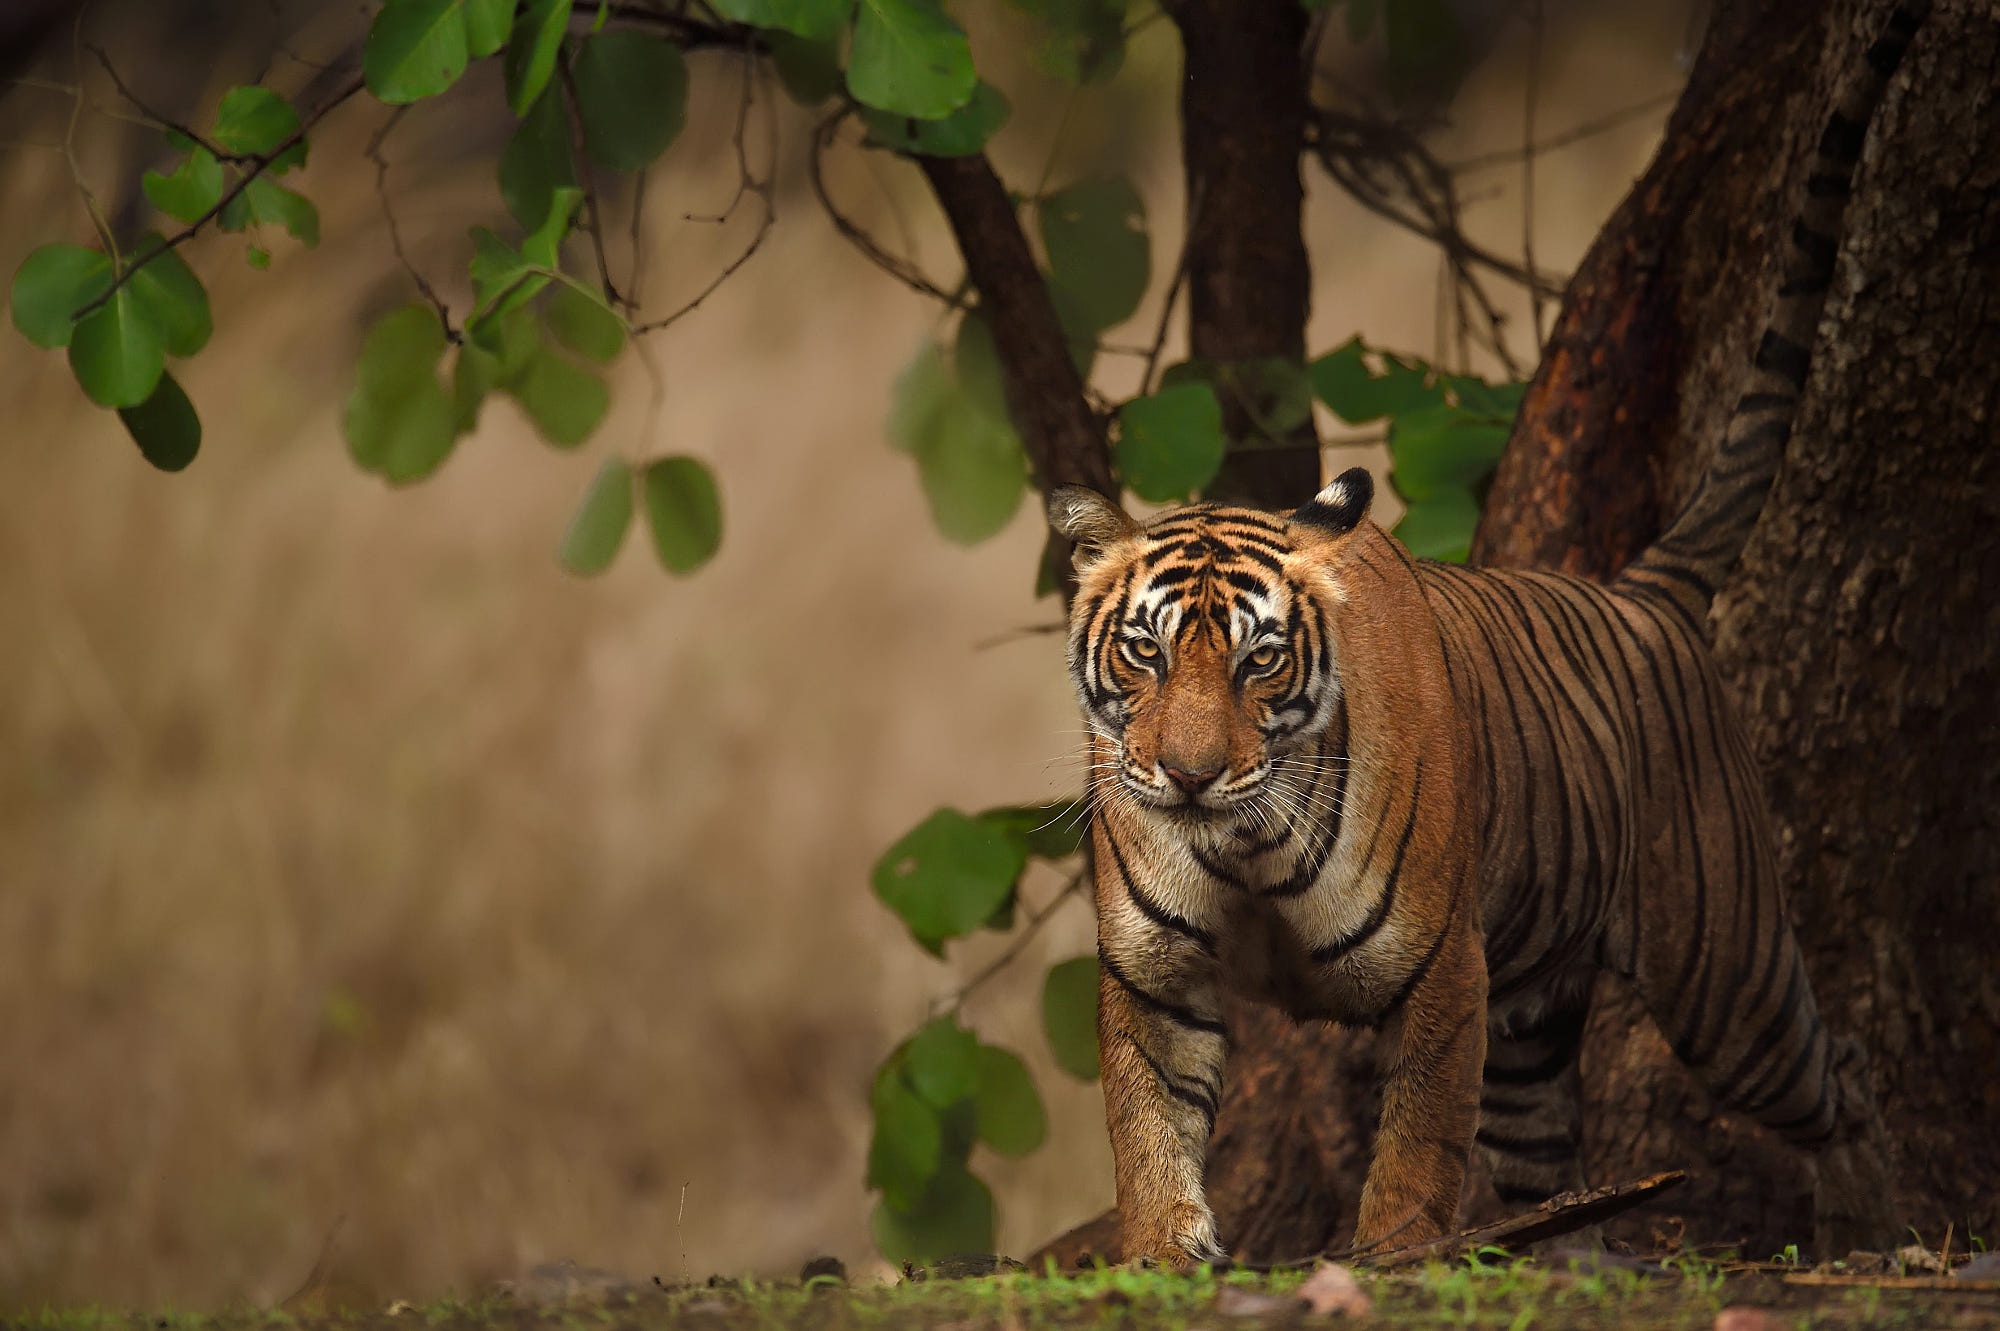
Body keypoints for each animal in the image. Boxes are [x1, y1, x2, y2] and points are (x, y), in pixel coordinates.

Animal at [1048, 0, 1920, 1263]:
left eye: (1259, 659)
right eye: (1145, 652)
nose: (1189, 774)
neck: (1242, 848)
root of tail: (1639, 592)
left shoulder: (1439, 969)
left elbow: (1416, 1132)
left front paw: (1389, 1254)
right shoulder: (1154, 972)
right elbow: (1147, 1119)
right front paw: (1163, 1250)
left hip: (1728, 975)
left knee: (1839, 1071)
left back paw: (1877, 1224)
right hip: (1541, 1017)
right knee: (1542, 1153)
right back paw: (1564, 1246)